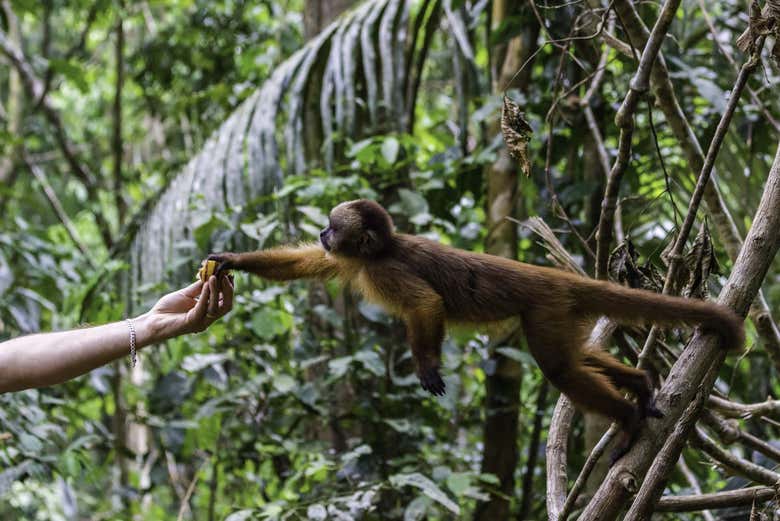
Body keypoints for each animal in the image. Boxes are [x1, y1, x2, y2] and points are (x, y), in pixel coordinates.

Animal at [207, 199, 744, 453]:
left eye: (332, 226)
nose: (322, 232)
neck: (377, 253)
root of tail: (551, 276)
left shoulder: (383, 270)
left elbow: (426, 304)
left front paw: (426, 366)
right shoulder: (350, 262)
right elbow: (301, 263)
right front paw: (230, 260)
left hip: (545, 307)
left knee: (558, 367)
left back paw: (629, 417)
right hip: (558, 312)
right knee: (575, 357)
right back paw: (640, 385)